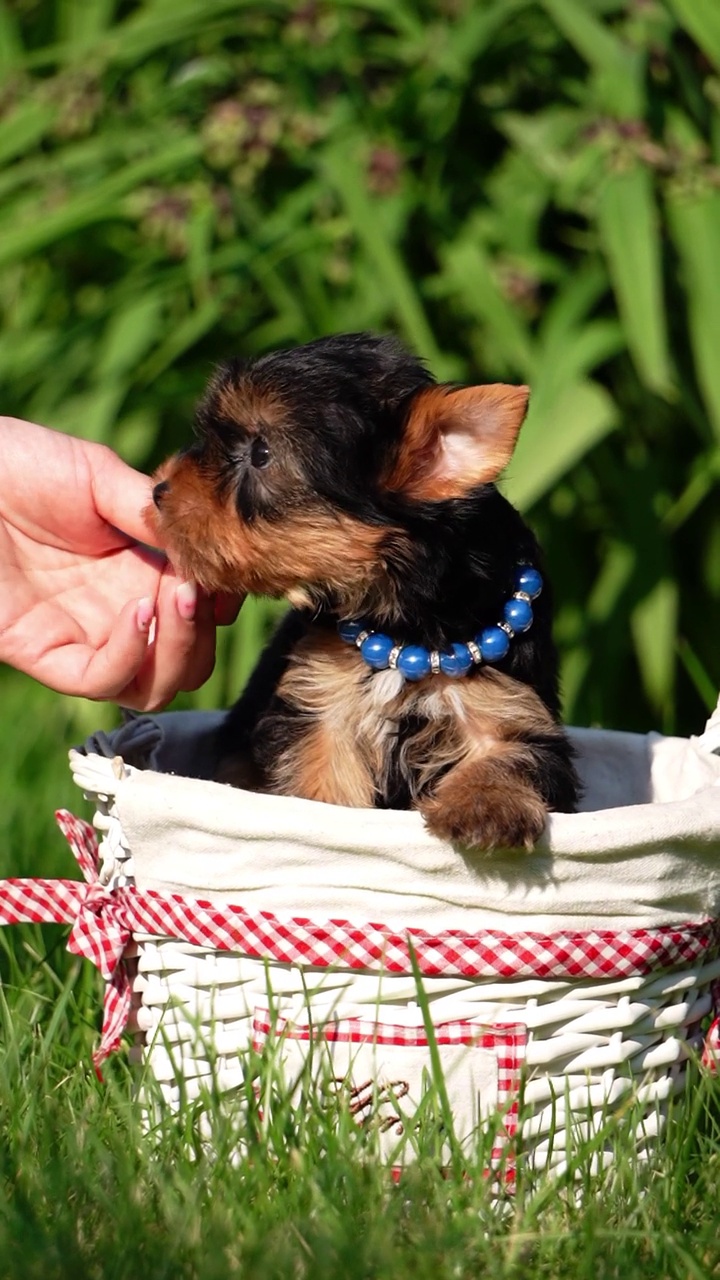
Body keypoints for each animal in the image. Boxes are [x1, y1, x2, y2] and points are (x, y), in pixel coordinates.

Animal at [151, 335, 576, 844]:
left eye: (261, 454)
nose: (159, 489)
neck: (406, 630)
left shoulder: (507, 704)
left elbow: (509, 751)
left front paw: (486, 805)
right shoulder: (322, 702)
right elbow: (321, 775)